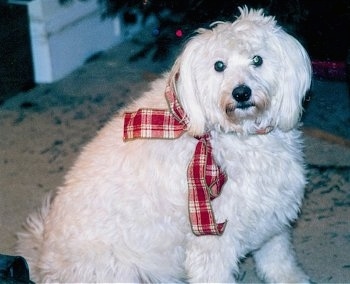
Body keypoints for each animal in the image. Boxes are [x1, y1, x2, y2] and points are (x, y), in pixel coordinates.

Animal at [15, 7, 312, 284]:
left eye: (257, 59)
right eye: (219, 65)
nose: (241, 93)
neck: (240, 136)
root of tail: (44, 262)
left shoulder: (272, 218)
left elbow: (278, 260)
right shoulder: (211, 244)